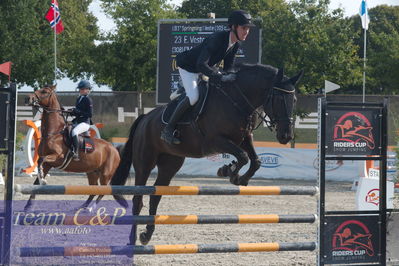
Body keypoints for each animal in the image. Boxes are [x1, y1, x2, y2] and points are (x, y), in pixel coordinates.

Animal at [109, 62, 304, 245]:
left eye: (294, 99)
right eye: (278, 98)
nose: (286, 136)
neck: (236, 100)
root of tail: (144, 118)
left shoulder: (244, 138)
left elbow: (255, 161)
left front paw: (237, 176)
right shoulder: (215, 141)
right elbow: (243, 156)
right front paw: (228, 171)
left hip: (170, 164)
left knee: (155, 195)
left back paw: (146, 235)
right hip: (145, 162)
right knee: (138, 199)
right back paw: (133, 238)